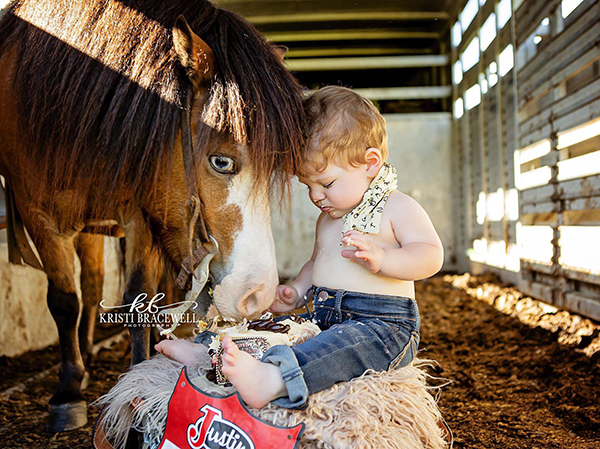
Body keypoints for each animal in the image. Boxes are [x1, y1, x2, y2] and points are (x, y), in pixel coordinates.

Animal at [0, 0, 304, 432]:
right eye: (222, 161)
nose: (258, 295)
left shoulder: (140, 212)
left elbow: (137, 299)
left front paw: (135, 375)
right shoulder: (36, 212)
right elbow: (63, 300)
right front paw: (67, 392)